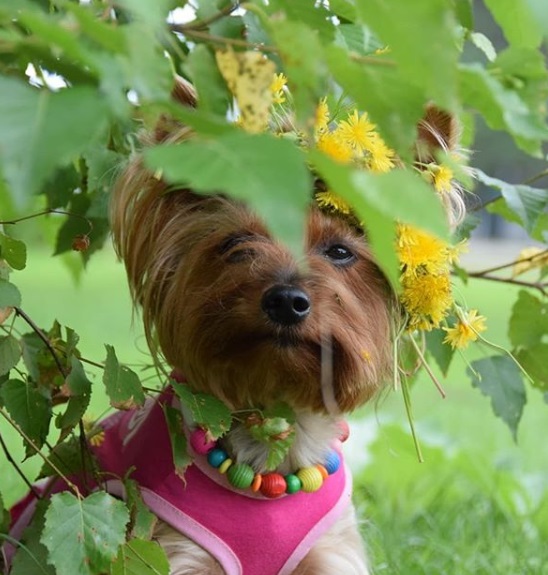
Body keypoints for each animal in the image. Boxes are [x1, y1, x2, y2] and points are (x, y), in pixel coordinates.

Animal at [4, 77, 462, 575]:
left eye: (340, 252)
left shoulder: (330, 553)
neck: (274, 439)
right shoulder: (172, 549)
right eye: (238, 243)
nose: (286, 301)